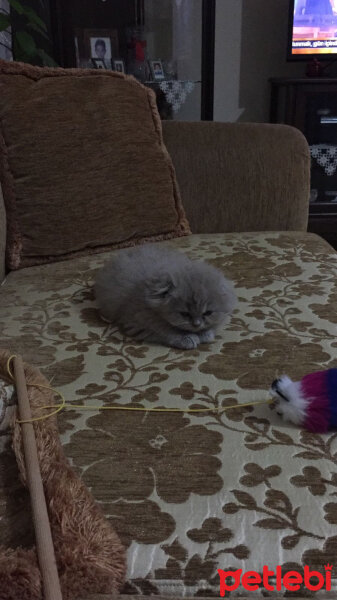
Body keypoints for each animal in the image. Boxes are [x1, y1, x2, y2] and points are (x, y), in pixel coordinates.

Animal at [94, 243, 236, 350]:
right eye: (184, 314)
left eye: (207, 313)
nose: (196, 324)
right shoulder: (139, 323)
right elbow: (167, 331)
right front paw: (187, 338)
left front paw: (205, 333)